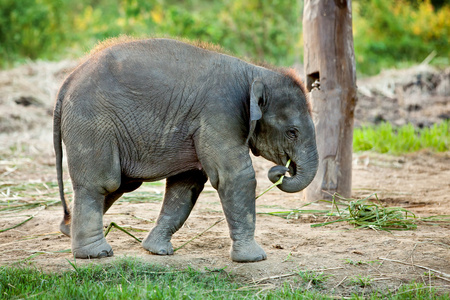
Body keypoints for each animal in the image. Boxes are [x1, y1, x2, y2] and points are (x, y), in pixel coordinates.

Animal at [54, 38, 318, 262]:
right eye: (292, 132)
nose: (283, 170)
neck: (254, 72)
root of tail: (68, 80)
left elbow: (186, 184)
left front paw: (157, 251)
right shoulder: (220, 115)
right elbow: (235, 176)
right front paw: (254, 258)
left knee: (122, 183)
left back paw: (68, 230)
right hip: (93, 124)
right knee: (102, 183)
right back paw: (96, 254)